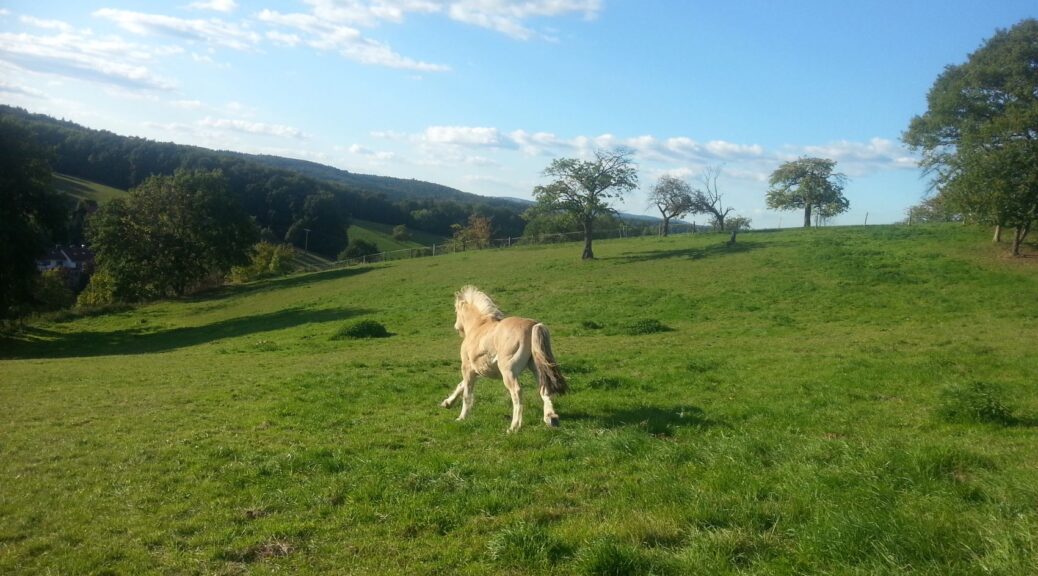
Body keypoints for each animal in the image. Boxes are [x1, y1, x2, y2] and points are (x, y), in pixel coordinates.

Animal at [440, 286, 568, 429]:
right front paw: (447, 403)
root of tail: (533, 325)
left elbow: (467, 394)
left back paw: (514, 427)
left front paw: (461, 417)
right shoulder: (476, 370)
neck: (478, 326)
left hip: (508, 371)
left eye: (456, 310)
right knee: (544, 388)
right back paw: (551, 417)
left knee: (517, 392)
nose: (457, 327)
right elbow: (461, 385)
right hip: (537, 368)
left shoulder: (467, 367)